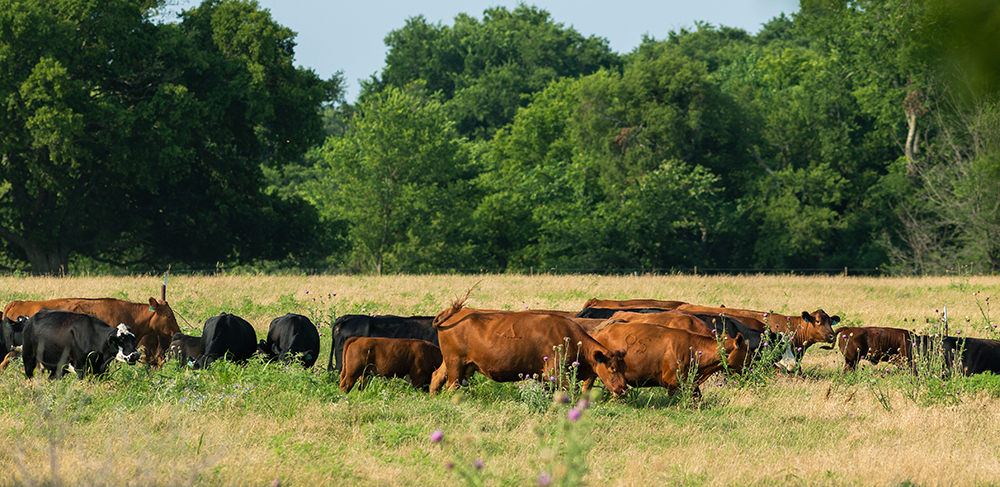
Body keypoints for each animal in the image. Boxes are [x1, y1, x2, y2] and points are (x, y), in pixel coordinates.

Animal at [428, 304, 624, 398]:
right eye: (612, 368)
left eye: (624, 368)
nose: (623, 390)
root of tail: (455, 312)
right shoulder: (556, 373)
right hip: (455, 362)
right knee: (451, 386)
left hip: (454, 363)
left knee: (437, 377)